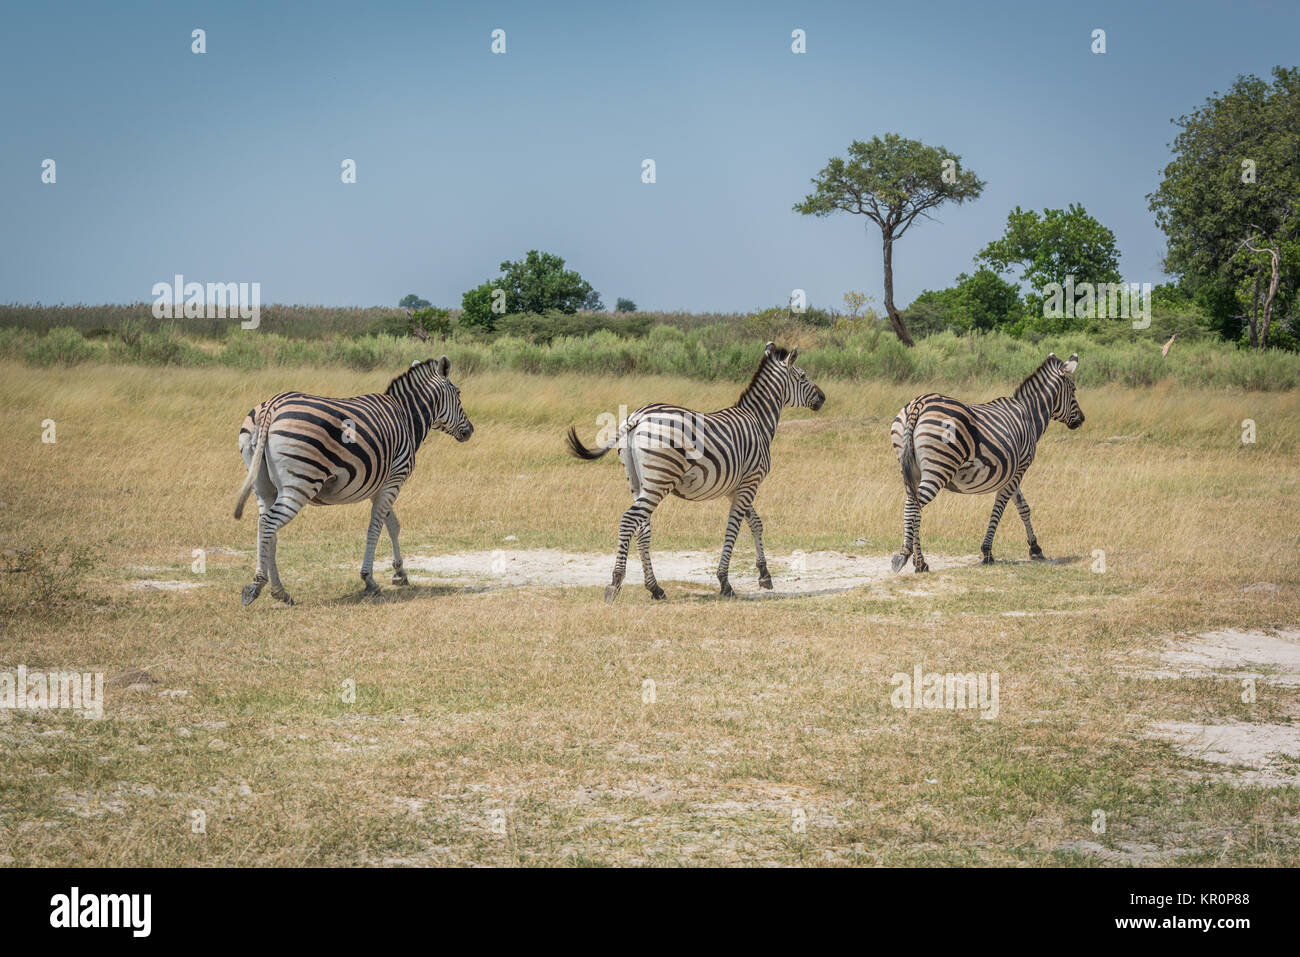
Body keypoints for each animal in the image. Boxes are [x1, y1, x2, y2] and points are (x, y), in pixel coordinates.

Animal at [232, 356, 473, 605]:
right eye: (458, 393)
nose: (470, 431)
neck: (406, 417)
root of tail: (270, 407)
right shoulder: (394, 480)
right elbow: (375, 528)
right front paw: (370, 580)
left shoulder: (380, 485)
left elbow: (392, 525)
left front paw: (399, 573)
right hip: (300, 483)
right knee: (269, 524)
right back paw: (257, 586)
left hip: (263, 486)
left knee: (267, 529)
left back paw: (280, 591)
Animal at [566, 342, 825, 602]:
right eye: (803, 376)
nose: (823, 398)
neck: (758, 421)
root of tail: (637, 417)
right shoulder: (750, 481)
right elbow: (734, 527)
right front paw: (725, 582)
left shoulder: (735, 487)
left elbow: (755, 522)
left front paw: (764, 574)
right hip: (660, 479)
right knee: (630, 520)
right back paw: (615, 583)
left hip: (638, 482)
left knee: (642, 528)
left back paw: (655, 588)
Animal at [889, 352, 1084, 573]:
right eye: (1074, 390)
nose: (1082, 420)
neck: (1029, 416)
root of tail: (919, 403)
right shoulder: (1019, 468)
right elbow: (999, 507)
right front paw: (988, 552)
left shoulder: (1012, 471)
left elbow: (1023, 507)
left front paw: (1035, 548)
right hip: (938, 468)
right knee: (915, 507)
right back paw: (915, 560)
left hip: (910, 467)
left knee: (910, 503)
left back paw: (912, 558)